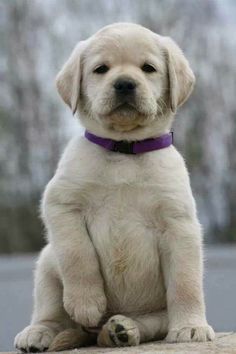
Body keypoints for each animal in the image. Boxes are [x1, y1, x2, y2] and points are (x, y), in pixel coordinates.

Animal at [13, 22, 215, 352]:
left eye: (148, 68)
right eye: (101, 69)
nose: (124, 84)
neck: (125, 149)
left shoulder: (179, 225)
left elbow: (186, 284)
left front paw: (190, 327)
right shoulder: (61, 204)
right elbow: (78, 255)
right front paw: (85, 302)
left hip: (151, 315)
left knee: (150, 324)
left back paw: (121, 330)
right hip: (47, 262)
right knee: (52, 313)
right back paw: (40, 333)